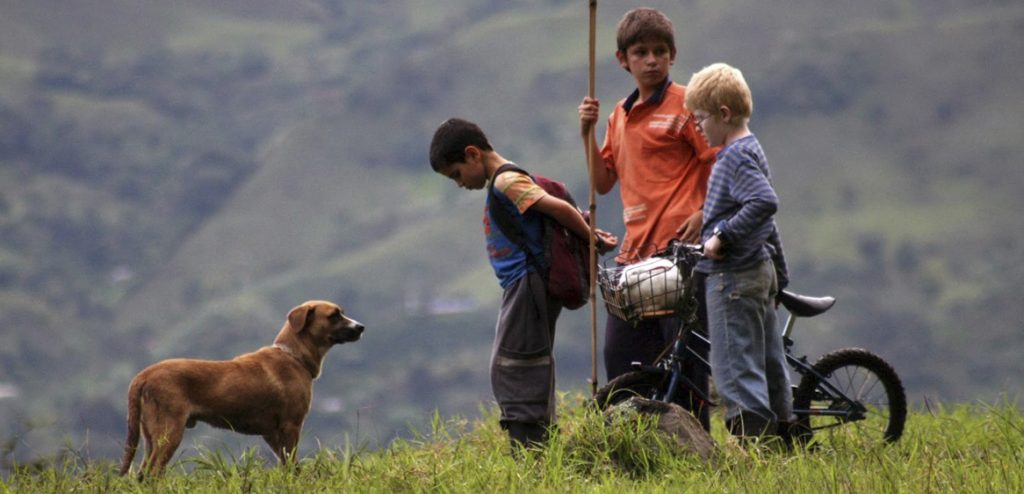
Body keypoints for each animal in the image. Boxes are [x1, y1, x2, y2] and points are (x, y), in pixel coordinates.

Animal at [119, 299, 364, 477]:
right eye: (334, 315)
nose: (361, 327)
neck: (293, 356)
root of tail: (143, 375)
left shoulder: (272, 433)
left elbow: (287, 465)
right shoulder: (291, 425)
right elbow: (291, 463)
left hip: (151, 436)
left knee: (142, 474)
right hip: (169, 432)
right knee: (152, 473)